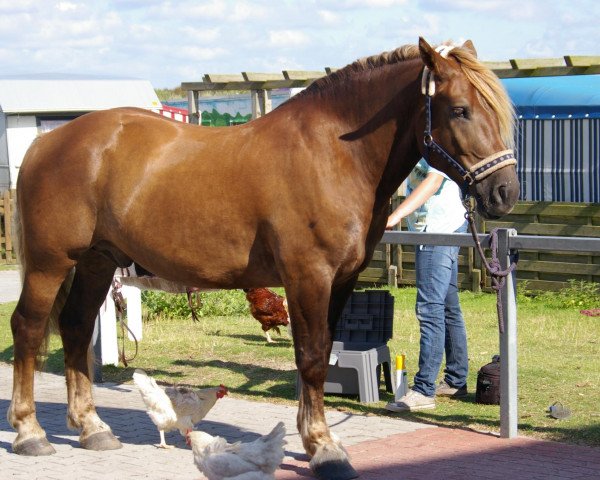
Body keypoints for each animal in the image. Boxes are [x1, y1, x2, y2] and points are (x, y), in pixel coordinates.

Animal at [8, 38, 516, 480]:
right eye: (460, 109)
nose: (505, 192)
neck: (332, 152)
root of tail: (45, 143)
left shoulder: (340, 281)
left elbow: (320, 354)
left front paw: (314, 439)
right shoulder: (308, 277)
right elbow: (310, 359)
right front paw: (324, 448)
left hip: (96, 262)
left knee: (75, 328)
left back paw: (92, 427)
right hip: (51, 264)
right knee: (28, 329)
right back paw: (30, 432)